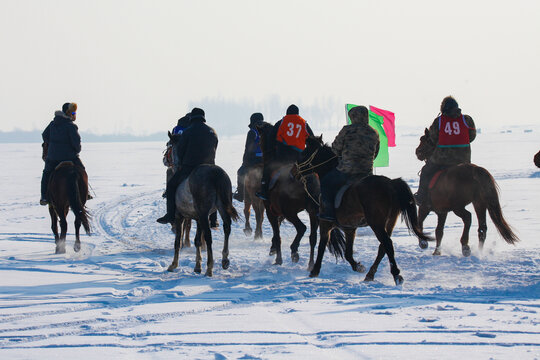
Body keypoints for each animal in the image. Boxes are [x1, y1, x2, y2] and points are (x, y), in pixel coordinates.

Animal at [167, 132, 238, 276]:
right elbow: (197, 241)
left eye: (170, 145)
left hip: (204, 213)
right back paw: (224, 259)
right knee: (227, 227)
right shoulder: (198, 217)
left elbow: (178, 241)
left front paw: (173, 264)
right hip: (220, 207)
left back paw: (210, 268)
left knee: (209, 236)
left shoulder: (180, 216)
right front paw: (197, 266)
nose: (166, 161)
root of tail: (216, 174)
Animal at [255, 122, 344, 268]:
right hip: (312, 211)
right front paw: (274, 250)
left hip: (289, 211)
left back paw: (294, 251)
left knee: (302, 228)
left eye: (260, 139)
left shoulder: (271, 211)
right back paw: (310, 263)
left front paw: (278, 257)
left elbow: (277, 234)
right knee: (312, 237)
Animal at [292, 135, 430, 284]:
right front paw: (358, 266)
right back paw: (370, 274)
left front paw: (315, 270)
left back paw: (396, 274)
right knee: (383, 247)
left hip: (377, 223)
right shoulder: (349, 228)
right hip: (390, 222)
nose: (293, 171)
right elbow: (347, 253)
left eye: (304, 153)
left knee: (387, 243)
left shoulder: (326, 223)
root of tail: (391, 183)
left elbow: (322, 245)